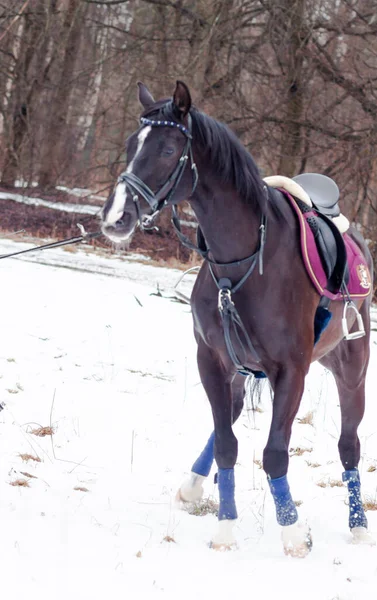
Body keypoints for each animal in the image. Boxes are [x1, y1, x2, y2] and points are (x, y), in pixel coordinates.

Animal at [100, 81, 374, 556]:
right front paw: (226, 527)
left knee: (349, 444)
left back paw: (357, 523)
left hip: (351, 369)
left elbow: (275, 452)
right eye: (132, 144)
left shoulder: (291, 371)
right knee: (229, 416)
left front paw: (291, 531)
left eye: (169, 148)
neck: (245, 262)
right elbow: (227, 441)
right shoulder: (212, 360)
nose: (116, 218)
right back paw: (194, 484)